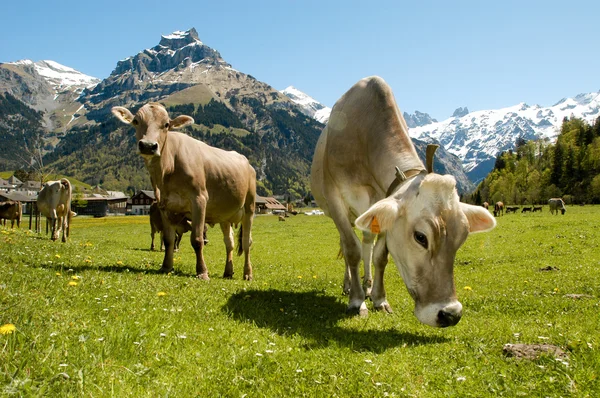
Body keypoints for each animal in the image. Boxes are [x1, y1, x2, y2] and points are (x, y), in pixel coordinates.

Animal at [112, 102, 255, 280]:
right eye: (136, 121)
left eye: (166, 124)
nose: (148, 145)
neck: (167, 169)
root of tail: (247, 163)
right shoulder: (164, 205)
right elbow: (168, 239)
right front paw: (166, 267)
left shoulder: (199, 199)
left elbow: (197, 239)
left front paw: (202, 271)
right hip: (225, 215)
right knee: (229, 242)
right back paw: (228, 272)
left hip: (249, 208)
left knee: (247, 241)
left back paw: (248, 273)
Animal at [310, 76, 496, 328]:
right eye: (420, 237)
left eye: (463, 237)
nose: (450, 314)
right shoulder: (335, 197)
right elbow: (351, 250)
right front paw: (357, 302)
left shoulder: (384, 203)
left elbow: (380, 256)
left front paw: (379, 299)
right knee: (348, 243)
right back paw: (350, 286)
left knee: (367, 242)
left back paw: (367, 285)